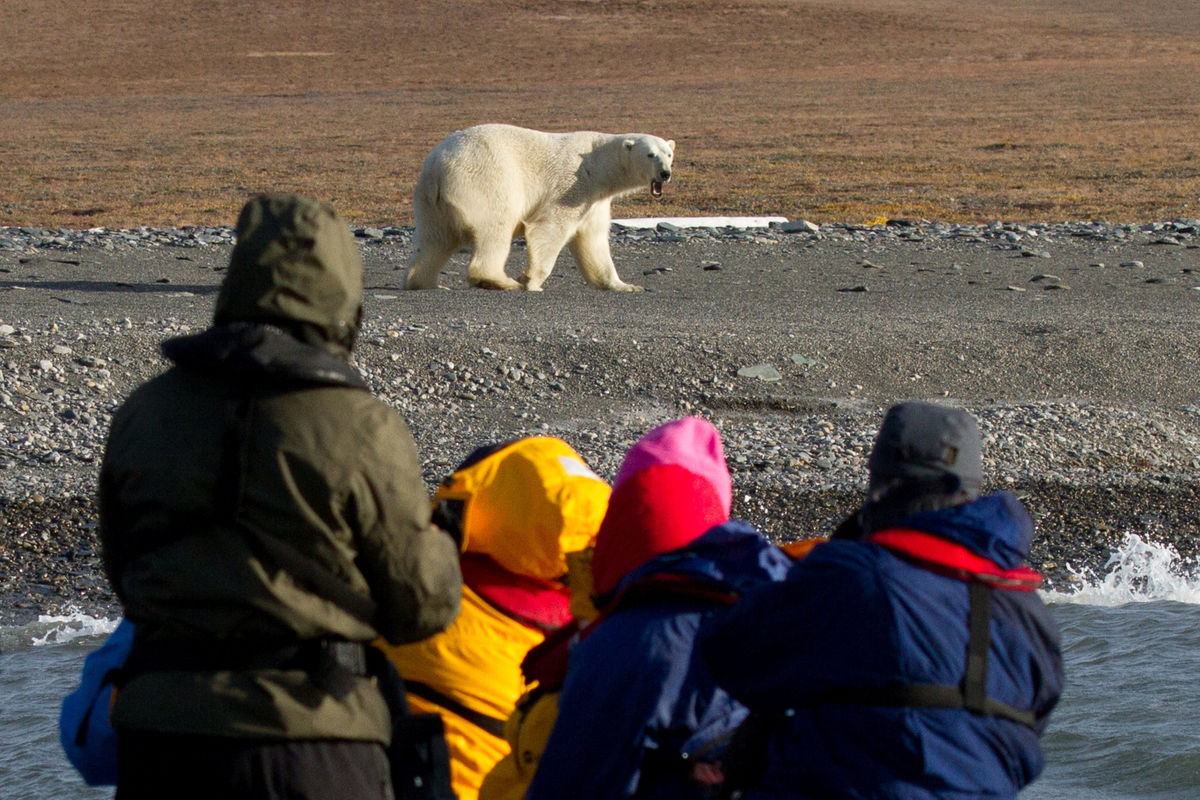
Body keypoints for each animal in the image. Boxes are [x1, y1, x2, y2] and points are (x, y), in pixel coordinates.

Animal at [405, 127, 676, 293]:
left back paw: (424, 282)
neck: (596, 163)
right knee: (495, 228)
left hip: (429, 201)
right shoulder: (572, 187)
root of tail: (438, 167)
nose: (665, 173)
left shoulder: (594, 200)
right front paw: (531, 280)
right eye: (650, 154)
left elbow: (593, 241)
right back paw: (501, 281)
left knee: (434, 240)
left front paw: (626, 285)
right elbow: (550, 228)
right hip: (485, 180)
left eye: (669, 154)